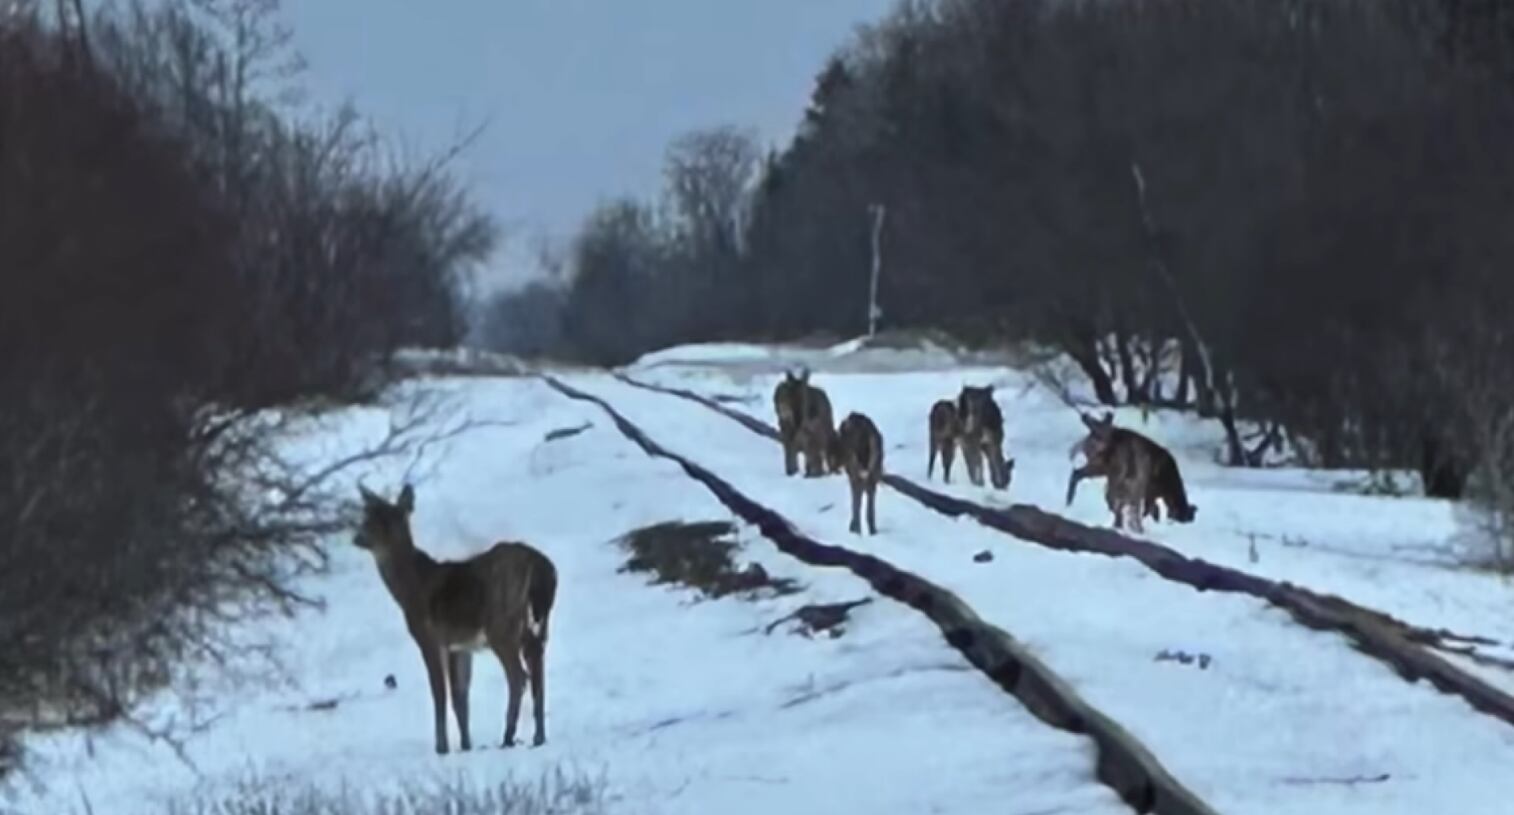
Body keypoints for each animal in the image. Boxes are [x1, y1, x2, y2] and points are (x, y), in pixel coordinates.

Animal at [353, 484, 558, 755]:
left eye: (379, 519)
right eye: (368, 516)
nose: (357, 538)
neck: (411, 589)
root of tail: (543, 569)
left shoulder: (430, 637)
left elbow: (440, 693)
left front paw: (441, 747)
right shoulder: (459, 646)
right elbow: (461, 697)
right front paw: (466, 744)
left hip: (501, 625)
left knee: (519, 677)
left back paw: (507, 737)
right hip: (539, 627)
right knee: (538, 676)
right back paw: (538, 737)